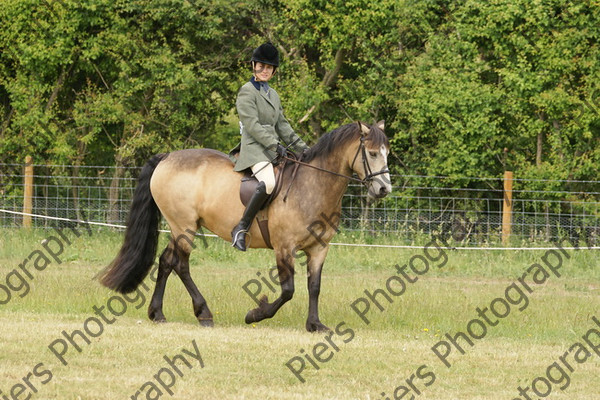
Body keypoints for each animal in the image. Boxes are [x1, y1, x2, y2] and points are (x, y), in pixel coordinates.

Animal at [100, 119, 392, 332]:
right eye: (372, 153)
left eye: (387, 154)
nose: (383, 189)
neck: (313, 186)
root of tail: (168, 156)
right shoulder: (284, 247)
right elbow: (288, 290)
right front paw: (256, 314)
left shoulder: (319, 248)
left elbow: (314, 286)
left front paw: (315, 324)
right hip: (184, 226)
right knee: (180, 264)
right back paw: (204, 313)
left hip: (180, 227)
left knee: (166, 261)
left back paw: (157, 313)